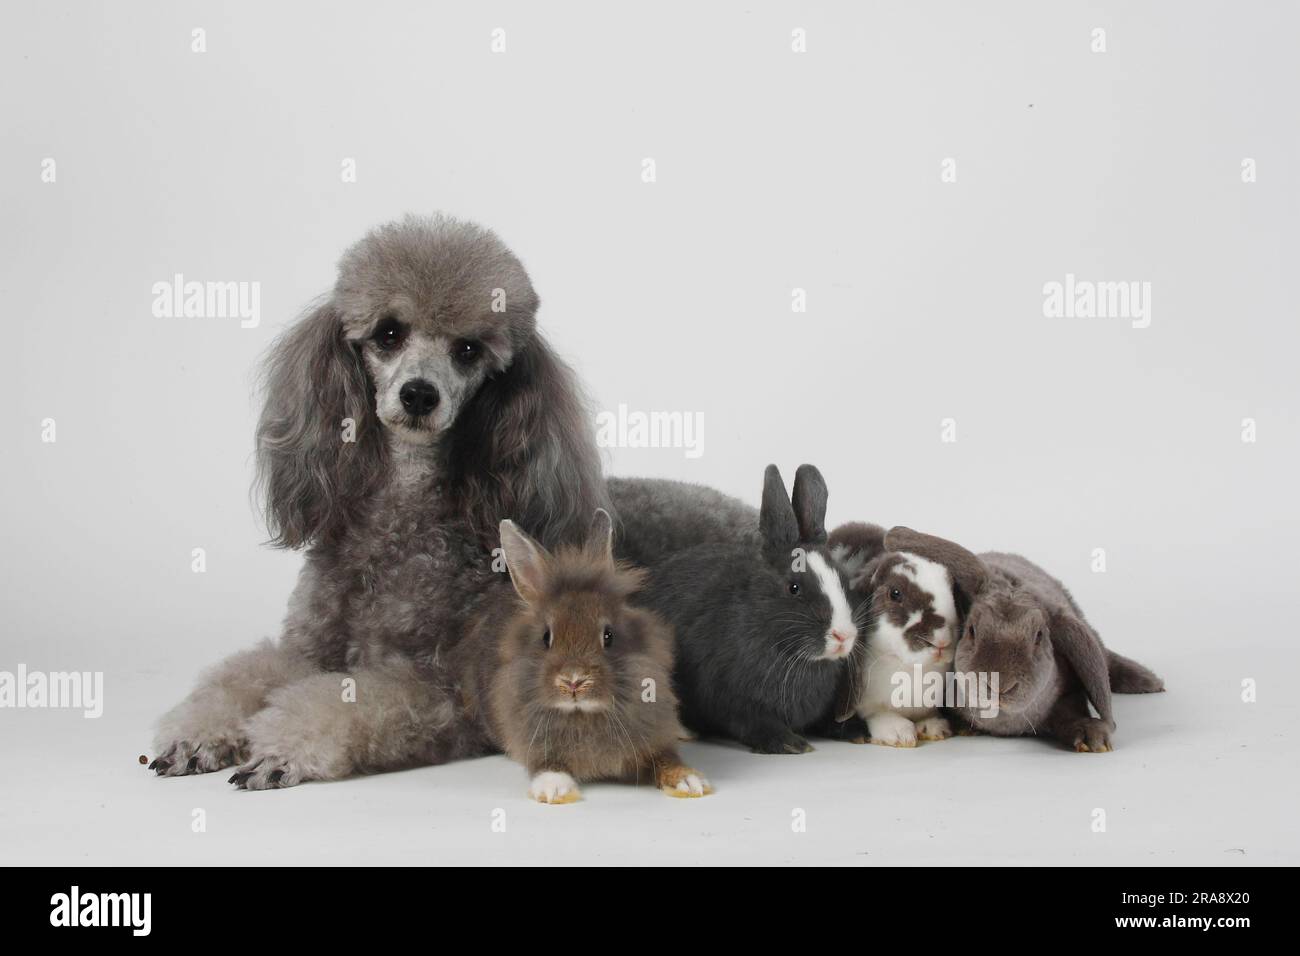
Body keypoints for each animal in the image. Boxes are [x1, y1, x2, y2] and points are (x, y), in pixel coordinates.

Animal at [460, 508, 712, 803]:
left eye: (608, 636)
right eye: (546, 637)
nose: (574, 681)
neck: (584, 713)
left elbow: (666, 758)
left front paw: (690, 782)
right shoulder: (535, 743)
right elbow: (548, 766)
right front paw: (555, 791)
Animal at [636, 464, 870, 754]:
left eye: (843, 580)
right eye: (793, 588)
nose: (843, 636)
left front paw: (858, 731)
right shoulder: (728, 696)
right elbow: (749, 721)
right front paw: (791, 743)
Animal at [828, 522, 960, 748]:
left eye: (952, 591)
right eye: (895, 593)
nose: (941, 640)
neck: (908, 667)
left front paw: (934, 727)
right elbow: (875, 713)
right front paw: (899, 733)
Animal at [883, 526, 1165, 752]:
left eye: (1038, 636)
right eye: (972, 630)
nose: (999, 686)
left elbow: (1071, 710)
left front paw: (1091, 736)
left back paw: (1149, 681)